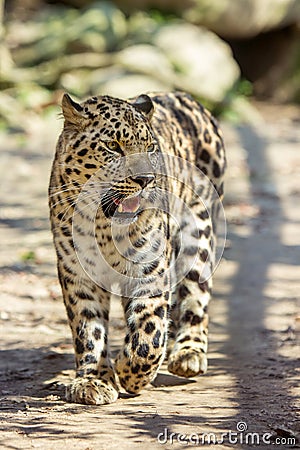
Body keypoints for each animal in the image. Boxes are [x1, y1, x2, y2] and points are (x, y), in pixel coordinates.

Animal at [49, 90, 226, 404]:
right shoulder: (78, 273)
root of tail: (183, 95)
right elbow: (87, 326)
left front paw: (131, 371)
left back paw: (188, 353)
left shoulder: (151, 266)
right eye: (112, 146)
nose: (145, 180)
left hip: (199, 232)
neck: (104, 227)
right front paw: (93, 380)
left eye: (151, 147)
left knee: (196, 294)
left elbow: (149, 328)